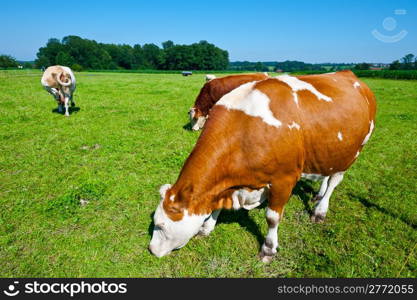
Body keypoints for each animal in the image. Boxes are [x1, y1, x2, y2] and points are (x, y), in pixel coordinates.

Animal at [148, 70, 376, 260]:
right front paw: (207, 227)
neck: (244, 132)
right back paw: (318, 196)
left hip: (355, 150)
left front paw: (268, 249)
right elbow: (216, 206)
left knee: (334, 181)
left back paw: (320, 210)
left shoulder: (284, 179)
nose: (151, 250)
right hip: (332, 149)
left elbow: (272, 218)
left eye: (161, 225)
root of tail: (348, 73)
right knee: (327, 175)